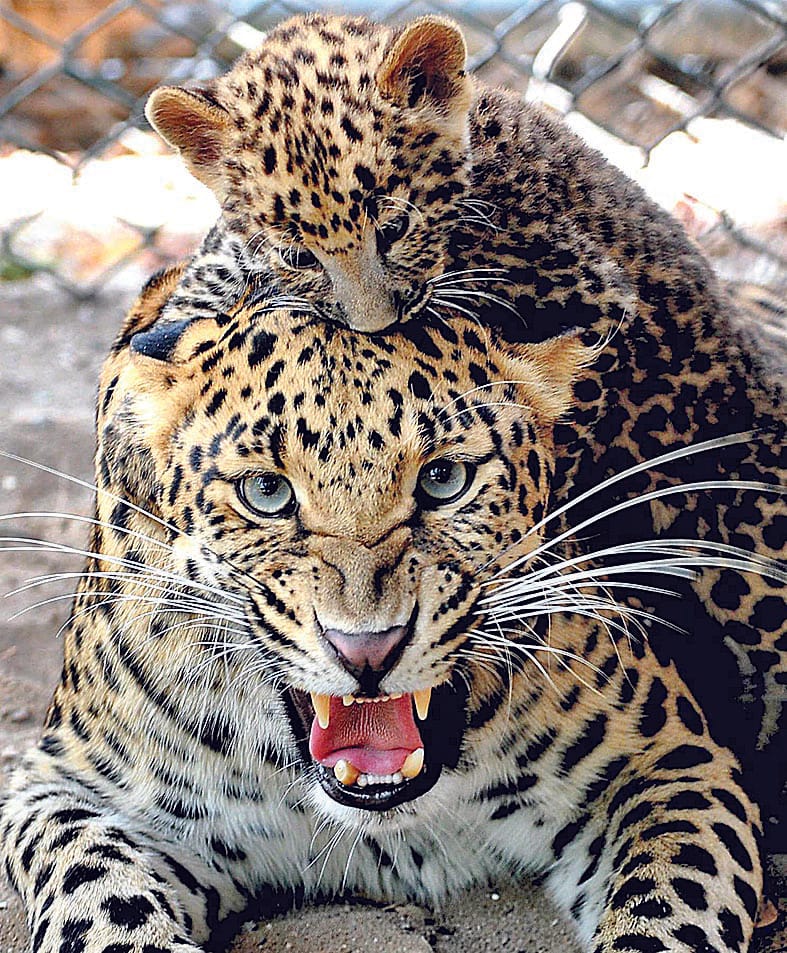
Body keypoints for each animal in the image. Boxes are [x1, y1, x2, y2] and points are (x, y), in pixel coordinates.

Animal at [1, 262, 783, 953]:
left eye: (443, 479)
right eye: (265, 493)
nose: (367, 648)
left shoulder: (668, 760)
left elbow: (670, 904)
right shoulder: (65, 784)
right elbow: (94, 884)